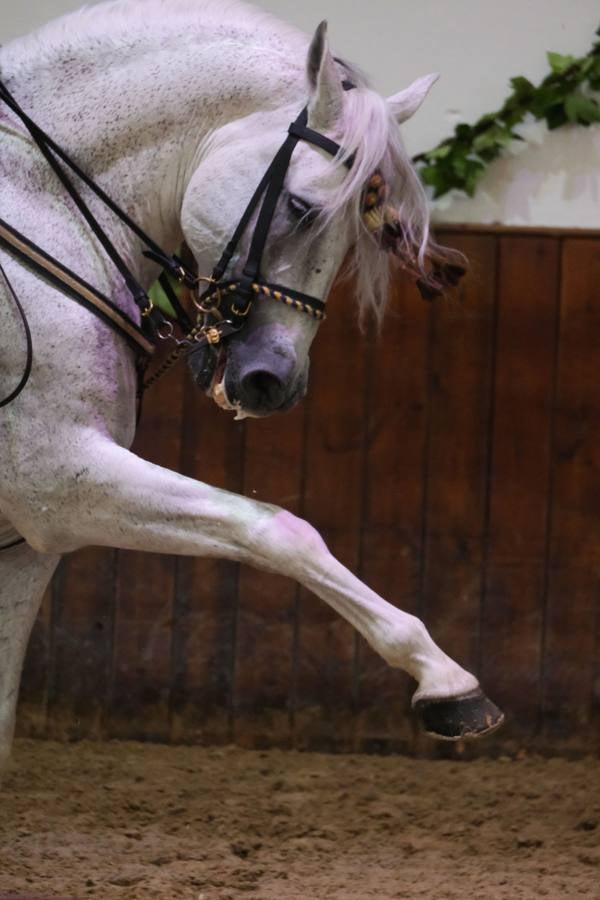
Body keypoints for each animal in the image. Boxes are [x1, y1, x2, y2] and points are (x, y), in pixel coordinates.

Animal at [0, 0, 502, 768]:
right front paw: (445, 679)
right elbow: (279, 531)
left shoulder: (30, 537)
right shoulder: (56, 478)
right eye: (299, 207)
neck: (37, 204)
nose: (275, 381)